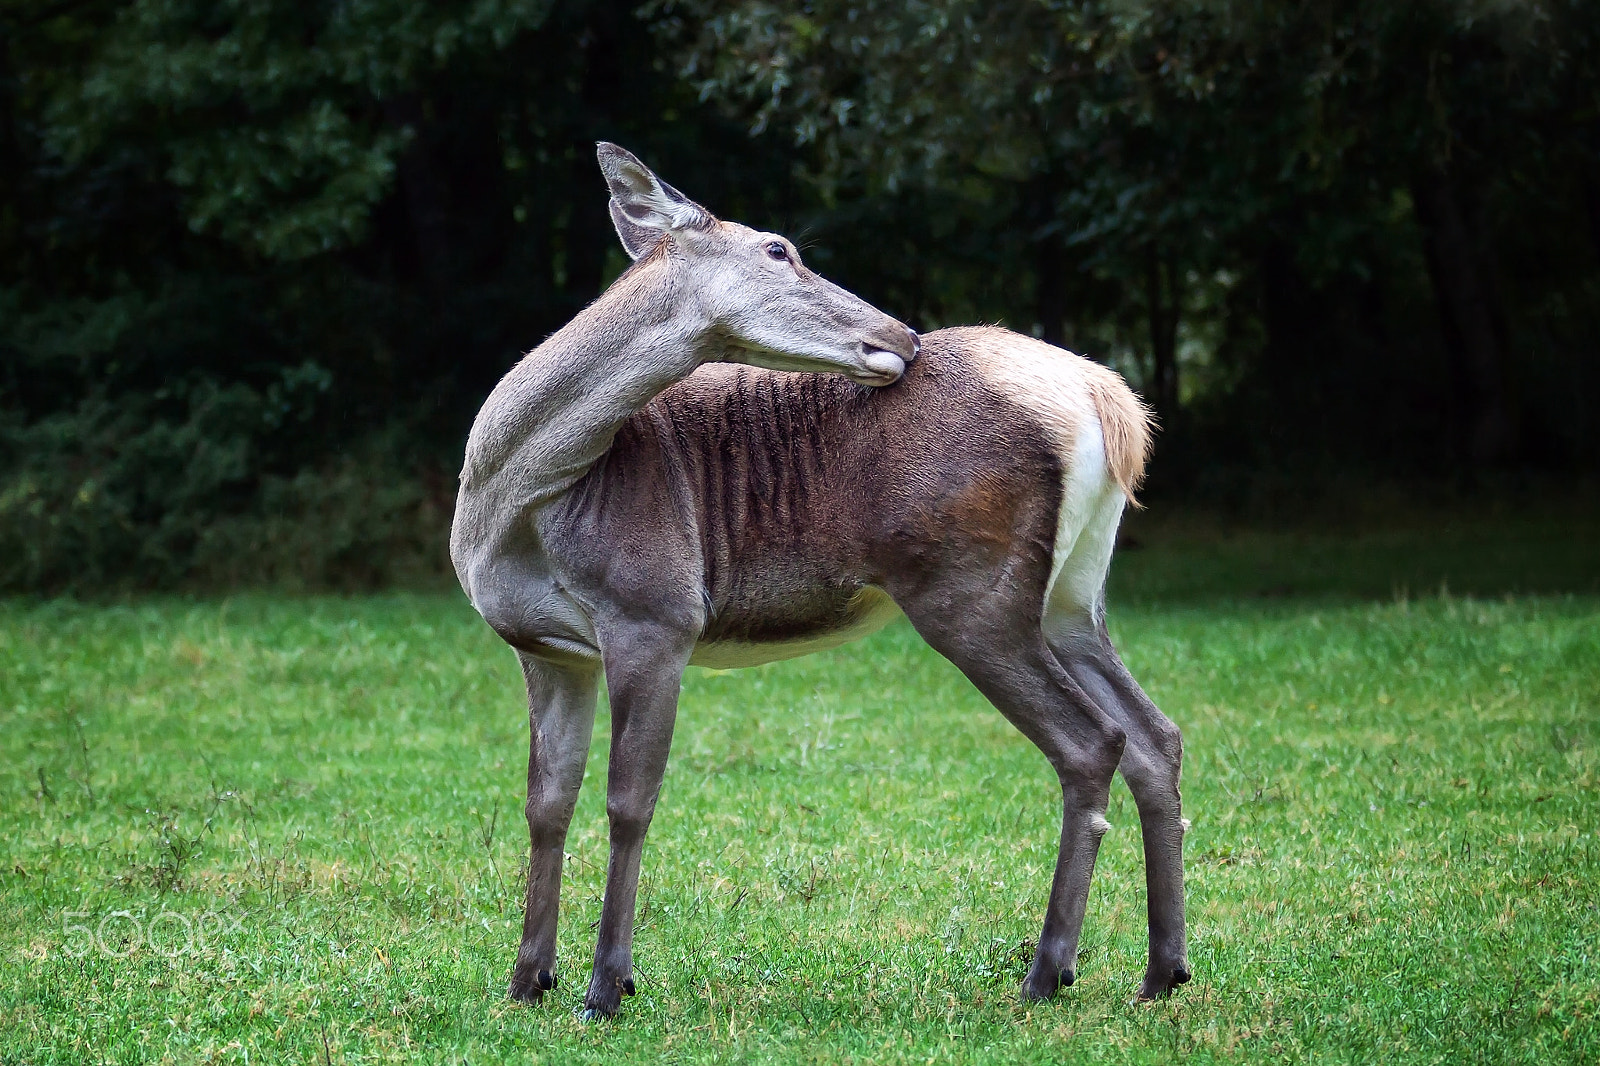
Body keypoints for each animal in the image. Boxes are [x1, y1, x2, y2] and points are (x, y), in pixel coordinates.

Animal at [451, 140, 1190, 1011]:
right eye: (779, 249)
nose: (901, 334)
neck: (518, 504)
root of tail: (1111, 403)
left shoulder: (656, 612)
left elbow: (628, 801)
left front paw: (607, 985)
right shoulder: (547, 647)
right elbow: (546, 803)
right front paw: (528, 978)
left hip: (970, 590)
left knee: (1092, 741)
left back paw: (1047, 971)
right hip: (1071, 595)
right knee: (1155, 735)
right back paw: (1162, 971)